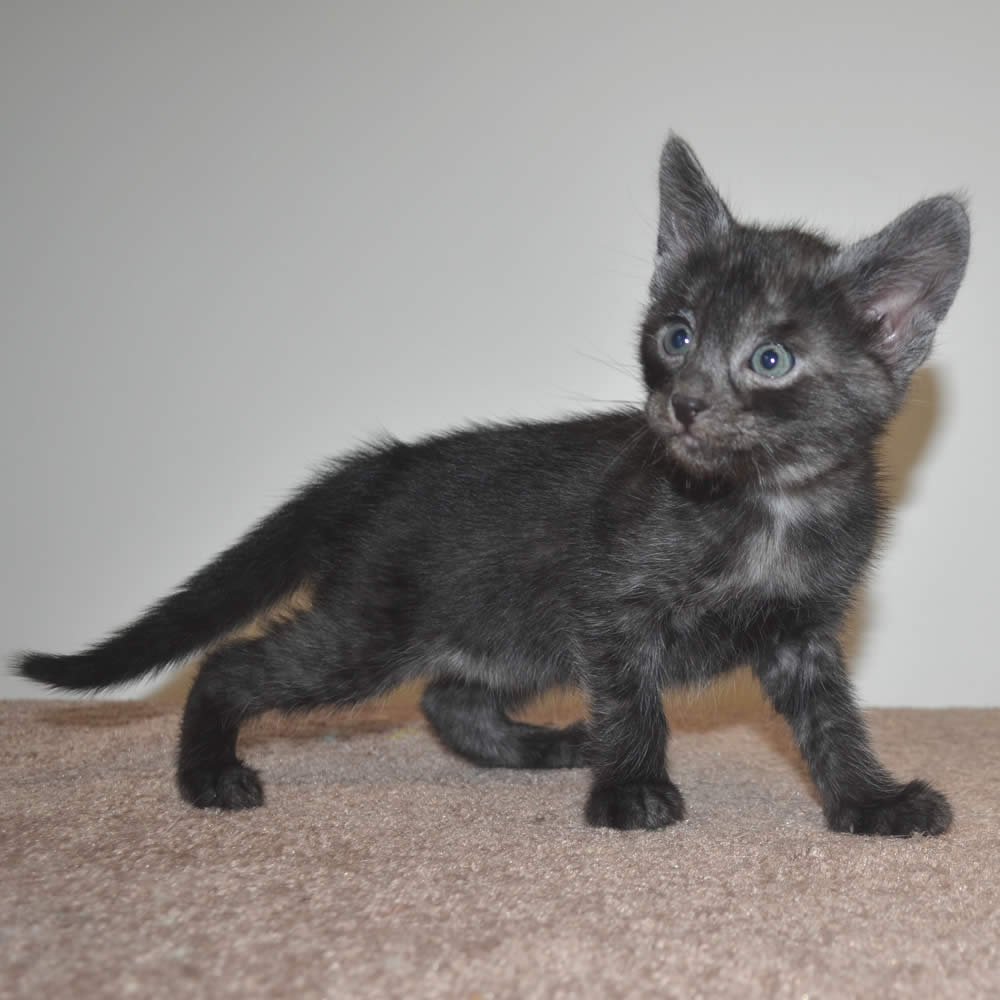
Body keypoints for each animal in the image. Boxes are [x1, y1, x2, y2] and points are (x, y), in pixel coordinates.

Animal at [17, 134, 969, 836]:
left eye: (772, 360)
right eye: (676, 335)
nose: (685, 403)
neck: (763, 502)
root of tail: (387, 462)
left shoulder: (804, 632)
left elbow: (833, 721)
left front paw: (870, 802)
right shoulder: (610, 609)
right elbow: (636, 701)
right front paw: (631, 790)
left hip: (511, 632)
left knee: (449, 697)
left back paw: (549, 747)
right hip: (375, 629)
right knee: (234, 661)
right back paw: (209, 772)